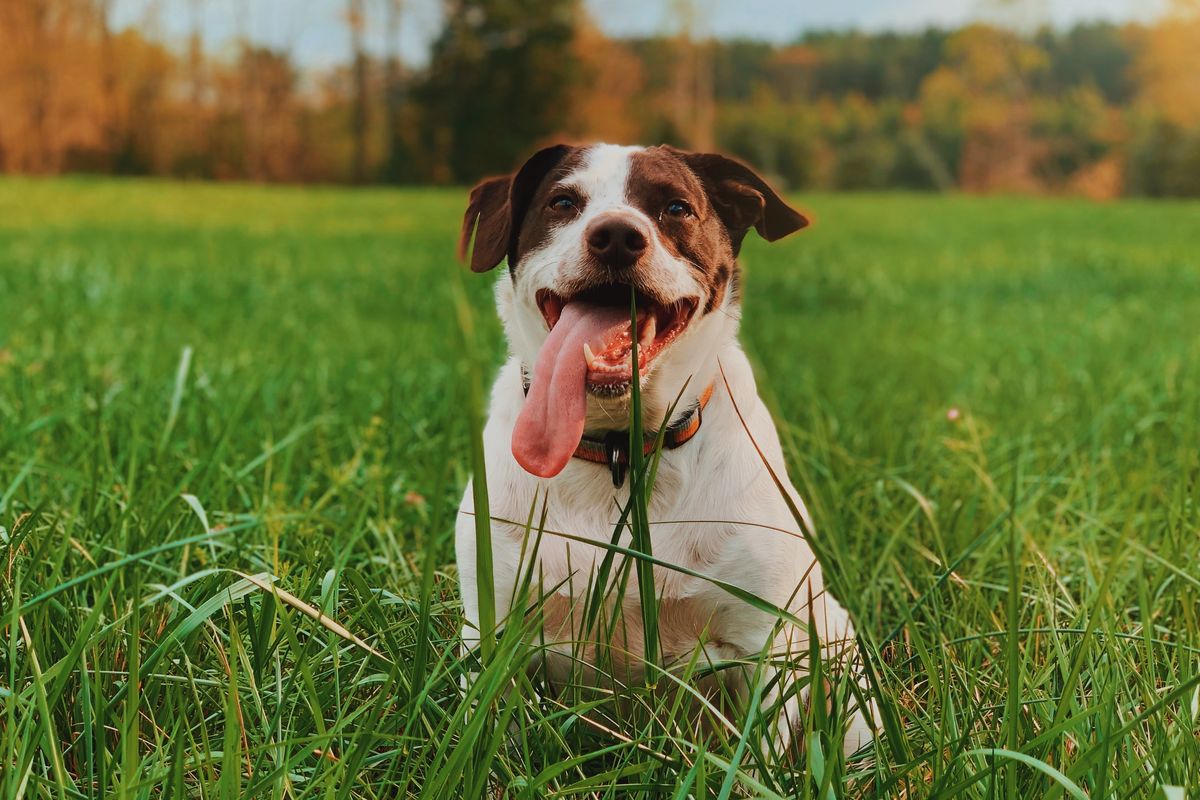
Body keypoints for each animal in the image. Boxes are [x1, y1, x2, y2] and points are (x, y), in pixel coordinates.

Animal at [453, 142, 878, 758]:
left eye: (676, 207)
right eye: (563, 202)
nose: (616, 236)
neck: (619, 452)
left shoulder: (765, 644)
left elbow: (761, 755)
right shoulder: (493, 632)